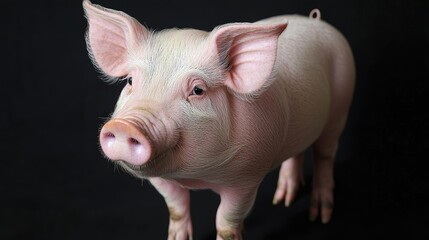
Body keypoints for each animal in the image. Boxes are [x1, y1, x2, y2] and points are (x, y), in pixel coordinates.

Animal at [83, 0, 354, 239]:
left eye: (198, 90)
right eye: (130, 81)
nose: (125, 125)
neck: (198, 177)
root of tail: (315, 20)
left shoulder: (246, 178)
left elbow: (226, 221)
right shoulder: (161, 179)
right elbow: (176, 207)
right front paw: (177, 237)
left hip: (341, 104)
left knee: (324, 155)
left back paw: (320, 216)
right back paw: (283, 200)